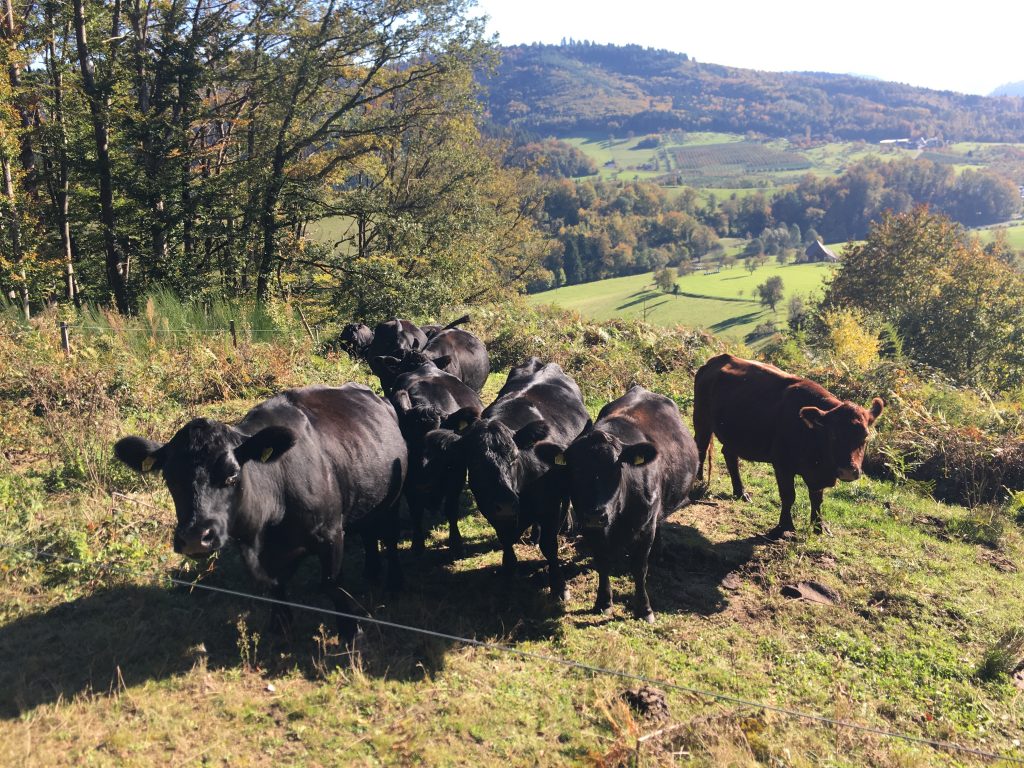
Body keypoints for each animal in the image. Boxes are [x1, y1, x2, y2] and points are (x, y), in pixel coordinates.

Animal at [115, 385, 407, 643]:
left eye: (232, 474)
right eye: (169, 478)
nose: (196, 537)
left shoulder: (331, 533)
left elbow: (332, 584)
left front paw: (352, 633)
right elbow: (275, 587)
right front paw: (280, 626)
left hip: (392, 503)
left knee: (389, 538)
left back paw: (394, 583)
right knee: (368, 533)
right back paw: (371, 572)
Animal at [387, 360, 483, 561]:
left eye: (440, 439)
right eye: (409, 436)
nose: (423, 467)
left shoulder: (457, 475)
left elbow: (451, 509)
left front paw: (456, 544)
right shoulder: (410, 483)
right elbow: (416, 512)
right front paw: (417, 546)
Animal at [428, 360, 593, 602]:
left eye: (515, 458)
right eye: (475, 464)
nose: (506, 504)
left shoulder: (549, 505)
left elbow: (550, 546)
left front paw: (559, 585)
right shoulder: (490, 507)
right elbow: (505, 538)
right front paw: (508, 569)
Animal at [536, 387, 696, 622]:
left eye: (616, 467)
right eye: (574, 469)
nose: (595, 515)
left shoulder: (645, 526)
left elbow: (639, 568)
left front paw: (644, 609)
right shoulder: (590, 527)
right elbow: (602, 561)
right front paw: (603, 601)